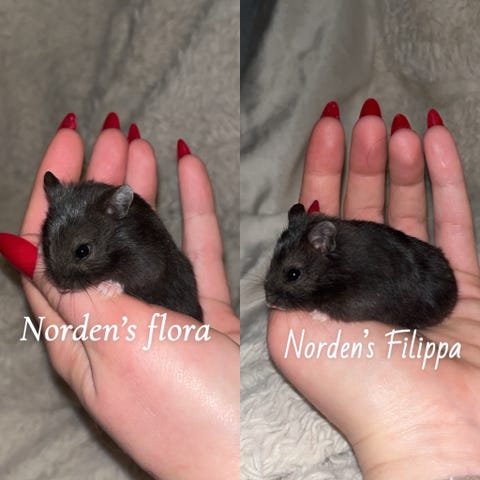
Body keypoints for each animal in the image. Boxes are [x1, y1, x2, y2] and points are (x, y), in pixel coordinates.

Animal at [41, 171, 203, 322]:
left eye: (82, 251)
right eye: (48, 243)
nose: (61, 288)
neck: (116, 243)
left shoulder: (149, 265)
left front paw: (106, 289)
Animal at [264, 203, 457, 328]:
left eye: (293, 274)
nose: (268, 302)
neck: (334, 270)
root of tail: (455, 290)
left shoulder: (355, 302)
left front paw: (316, 315)